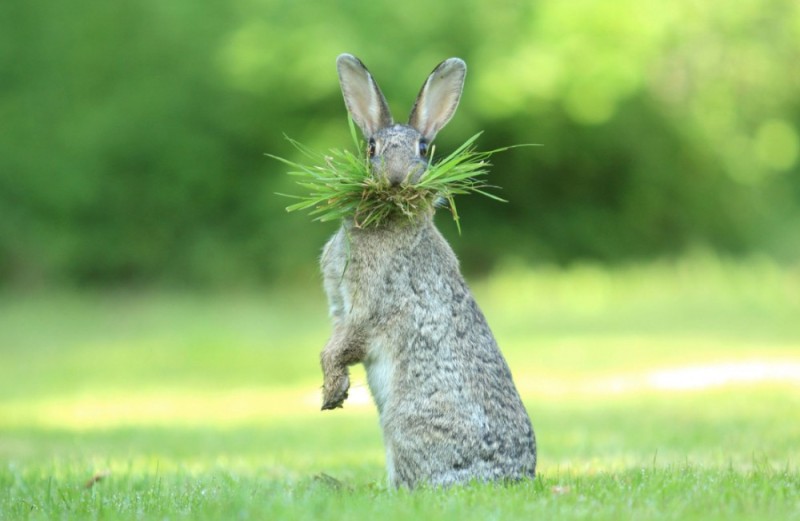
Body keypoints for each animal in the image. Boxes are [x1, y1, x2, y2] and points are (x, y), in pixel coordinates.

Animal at [318, 54, 536, 490]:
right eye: (371, 147)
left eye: (422, 148)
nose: (396, 177)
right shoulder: (339, 308)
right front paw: (336, 391)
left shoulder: (366, 307)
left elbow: (343, 345)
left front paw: (332, 393)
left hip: (404, 422)